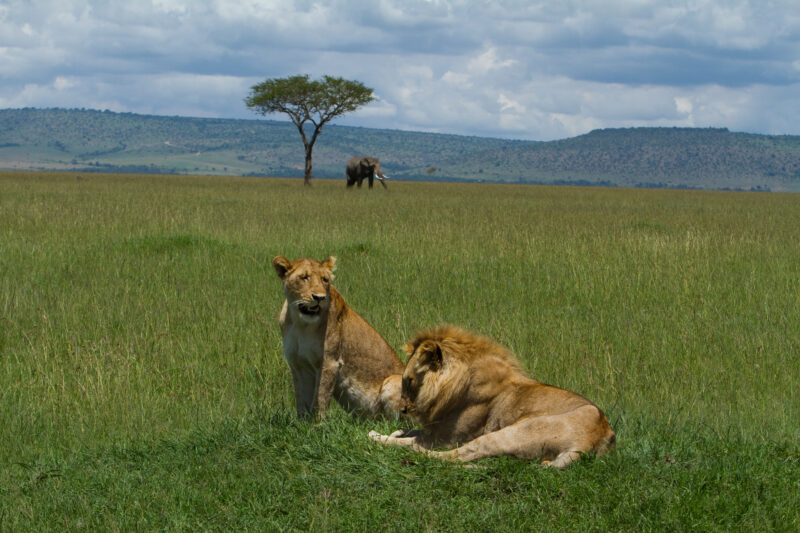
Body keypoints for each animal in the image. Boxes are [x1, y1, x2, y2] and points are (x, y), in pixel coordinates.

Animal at [273, 255, 404, 419]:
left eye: (325, 279)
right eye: (304, 277)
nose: (319, 297)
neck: (301, 323)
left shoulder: (330, 362)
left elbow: (320, 398)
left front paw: (318, 423)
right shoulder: (298, 364)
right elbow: (301, 399)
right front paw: (302, 422)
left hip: (394, 381)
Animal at [369, 325, 616, 468]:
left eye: (409, 381)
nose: (402, 410)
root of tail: (601, 434)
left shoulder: (445, 438)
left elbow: (410, 440)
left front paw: (382, 436)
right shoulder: (437, 428)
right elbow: (412, 431)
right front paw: (398, 430)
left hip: (510, 433)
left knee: (452, 455)